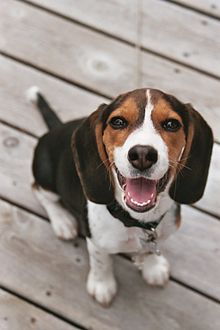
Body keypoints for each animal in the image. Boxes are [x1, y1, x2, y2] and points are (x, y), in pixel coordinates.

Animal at [28, 86, 214, 306]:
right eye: (118, 122)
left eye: (171, 124)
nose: (142, 155)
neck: (139, 221)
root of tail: (57, 128)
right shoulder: (96, 241)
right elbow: (102, 262)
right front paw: (102, 285)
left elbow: (151, 249)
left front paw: (153, 267)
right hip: (45, 175)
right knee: (38, 190)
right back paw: (62, 221)